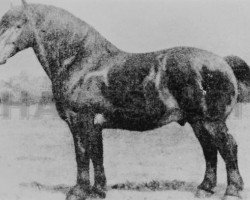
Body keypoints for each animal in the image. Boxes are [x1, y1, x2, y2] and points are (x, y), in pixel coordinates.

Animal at [0, 0, 250, 199]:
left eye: (19, 25)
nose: (0, 56)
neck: (83, 63)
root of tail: (223, 62)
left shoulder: (80, 120)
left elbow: (82, 154)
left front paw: (78, 191)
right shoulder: (94, 125)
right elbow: (96, 154)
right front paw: (98, 190)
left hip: (211, 121)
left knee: (228, 147)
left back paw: (232, 191)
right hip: (198, 122)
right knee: (209, 149)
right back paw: (204, 188)